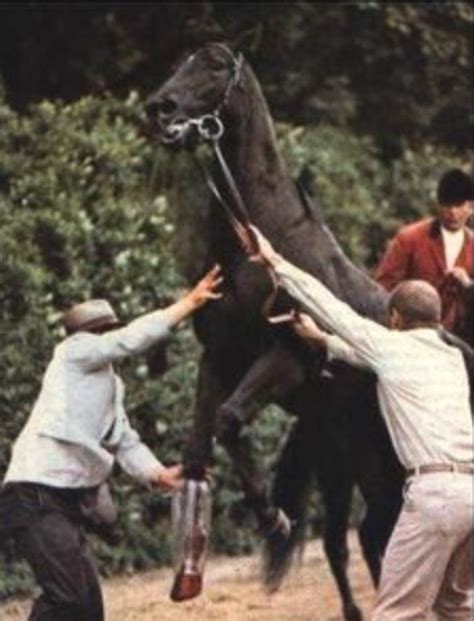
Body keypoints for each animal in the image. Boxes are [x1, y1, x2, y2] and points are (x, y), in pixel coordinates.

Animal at [145, 42, 404, 620]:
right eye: (177, 63)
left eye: (215, 66)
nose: (160, 108)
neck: (259, 245)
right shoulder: (219, 359)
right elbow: (201, 445)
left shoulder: (287, 360)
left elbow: (229, 419)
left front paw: (272, 518)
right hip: (347, 457)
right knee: (365, 535)